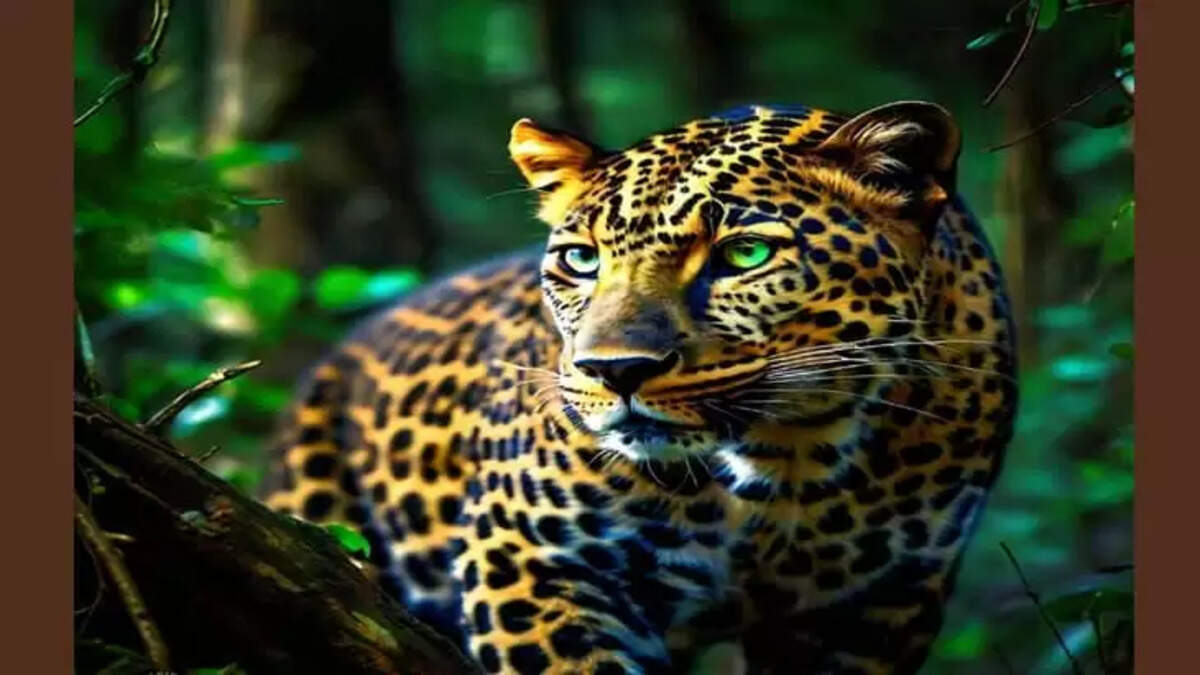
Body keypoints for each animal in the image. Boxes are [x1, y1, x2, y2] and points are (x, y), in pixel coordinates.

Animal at [263, 100, 1018, 675]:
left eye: (744, 254)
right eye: (580, 259)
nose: (614, 370)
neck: (785, 457)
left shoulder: (874, 606)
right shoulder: (531, 556)